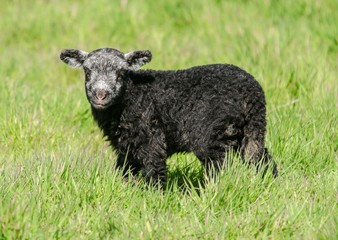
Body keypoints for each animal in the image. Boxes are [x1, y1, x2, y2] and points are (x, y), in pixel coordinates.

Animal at [60, 47, 278, 188]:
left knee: (220, 167)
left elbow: (154, 170)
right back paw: (271, 182)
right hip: (252, 130)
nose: (100, 95)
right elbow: (125, 171)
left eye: (121, 73)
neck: (131, 96)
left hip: (212, 134)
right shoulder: (127, 145)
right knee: (260, 158)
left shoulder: (151, 139)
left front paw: (154, 197)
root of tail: (251, 94)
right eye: (87, 71)